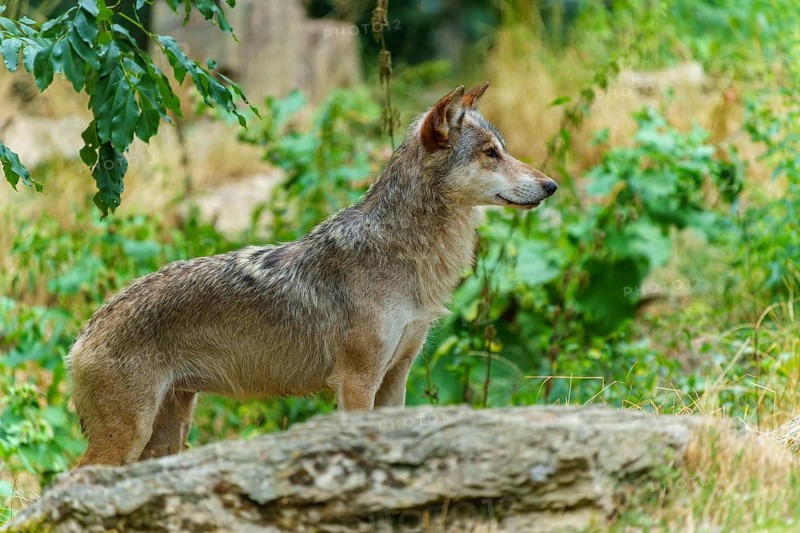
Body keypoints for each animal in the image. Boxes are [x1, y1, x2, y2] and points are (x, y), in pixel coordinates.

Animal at [68, 83, 558, 466]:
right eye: (490, 154)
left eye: (504, 149)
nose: (551, 185)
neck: (403, 256)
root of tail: (83, 333)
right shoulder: (357, 382)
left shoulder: (397, 377)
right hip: (129, 437)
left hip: (167, 436)